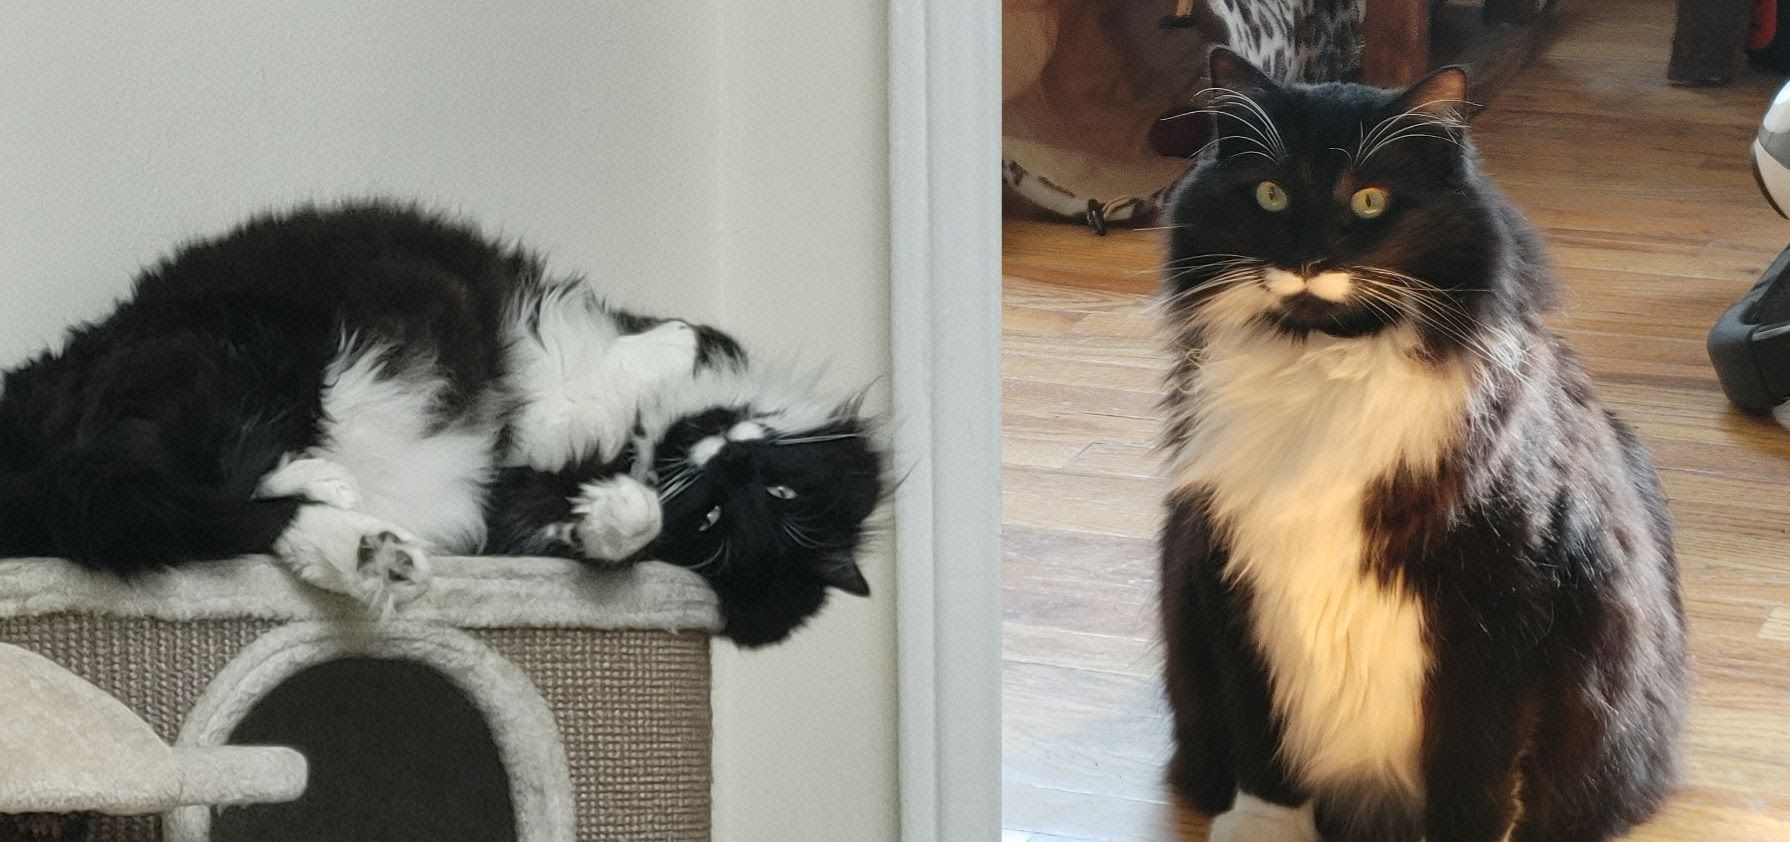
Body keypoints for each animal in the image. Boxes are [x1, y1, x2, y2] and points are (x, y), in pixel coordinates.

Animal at [0, 203, 883, 646]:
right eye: (775, 491)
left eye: (712, 524)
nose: (722, 463)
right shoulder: (567, 346)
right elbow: (641, 359)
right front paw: (655, 370)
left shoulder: (510, 508)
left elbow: (601, 505)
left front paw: (602, 515)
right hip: (261, 352)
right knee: (199, 477)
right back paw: (335, 491)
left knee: (226, 517)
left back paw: (372, 549)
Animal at [1156, 49, 1687, 842]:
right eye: (1272, 195)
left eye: (1370, 201)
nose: (1309, 260)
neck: (1331, 365)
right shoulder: (1226, 577)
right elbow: (1262, 746)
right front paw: (1262, 826)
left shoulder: (1500, 612)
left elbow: (1472, 769)